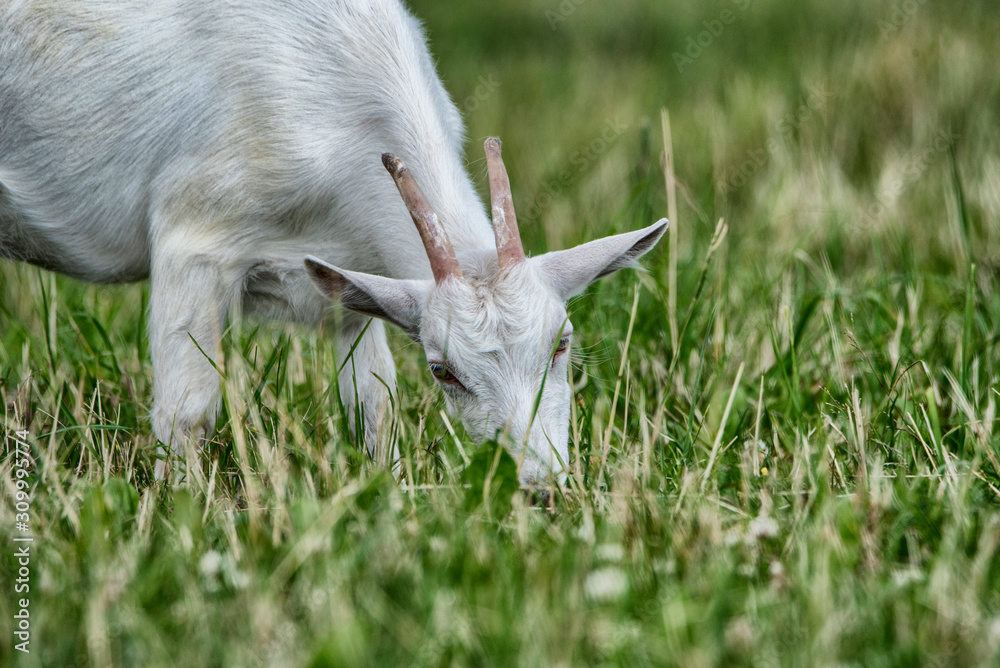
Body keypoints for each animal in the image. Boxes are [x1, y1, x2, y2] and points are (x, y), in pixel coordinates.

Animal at [0, 0, 667, 486]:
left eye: (562, 343)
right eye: (443, 370)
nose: (540, 487)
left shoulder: (354, 275)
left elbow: (375, 406)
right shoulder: (194, 240)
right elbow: (186, 413)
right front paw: (179, 509)